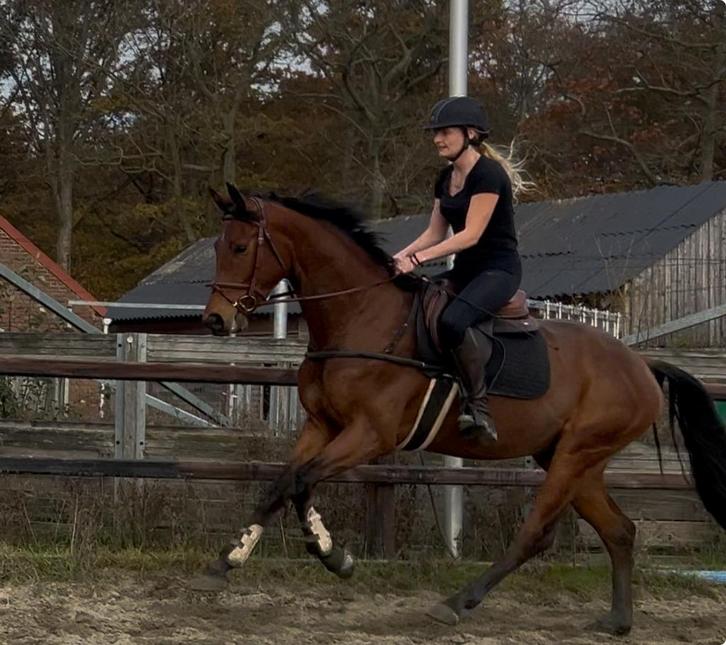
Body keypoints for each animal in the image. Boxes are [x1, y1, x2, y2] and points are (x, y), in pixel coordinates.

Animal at [195, 183, 726, 635]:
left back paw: (456, 603)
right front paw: (225, 563)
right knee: (620, 530)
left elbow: (304, 482)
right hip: (572, 459)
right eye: (218, 248)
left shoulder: (370, 434)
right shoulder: (321, 426)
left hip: (577, 453)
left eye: (239, 248)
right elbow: (280, 484)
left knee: (536, 533)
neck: (363, 317)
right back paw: (617, 621)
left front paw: (334, 555)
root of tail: (641, 365)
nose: (216, 320)